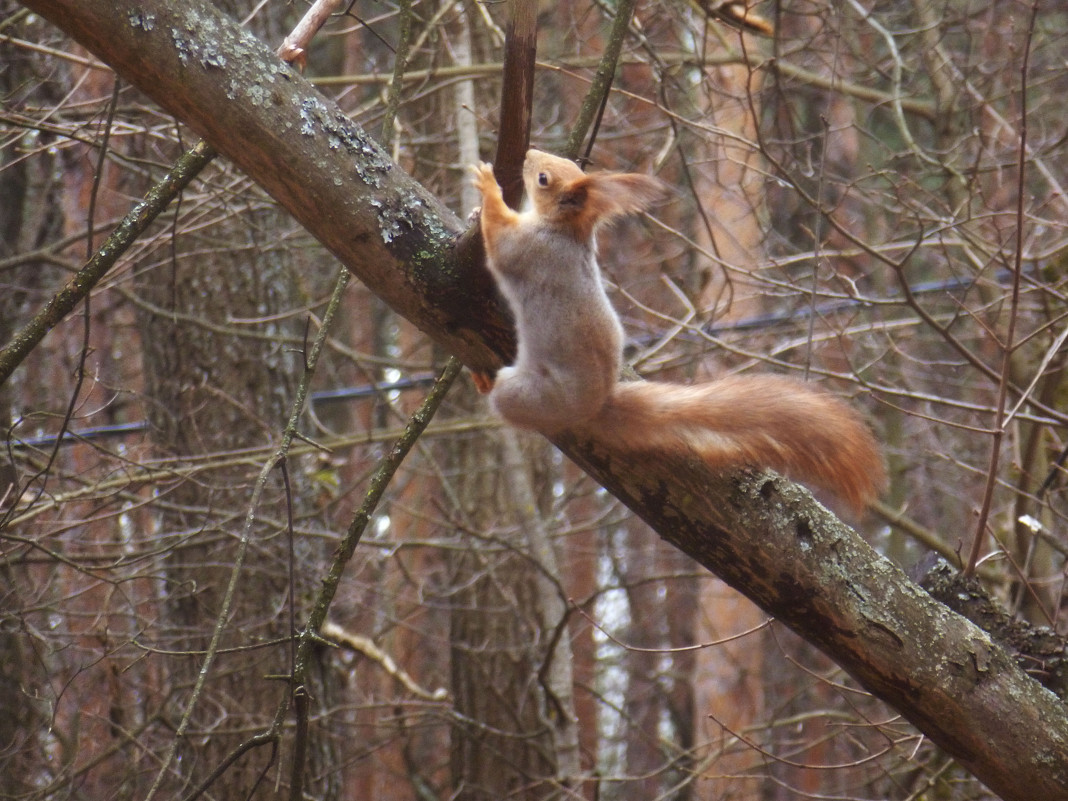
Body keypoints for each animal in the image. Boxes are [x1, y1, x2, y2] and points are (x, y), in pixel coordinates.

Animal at [472, 149, 880, 510]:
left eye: (544, 178)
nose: (528, 154)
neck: (566, 230)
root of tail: (599, 403)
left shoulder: (528, 248)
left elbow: (499, 240)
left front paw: (488, 188)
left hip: (533, 395)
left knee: (505, 399)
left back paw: (488, 381)